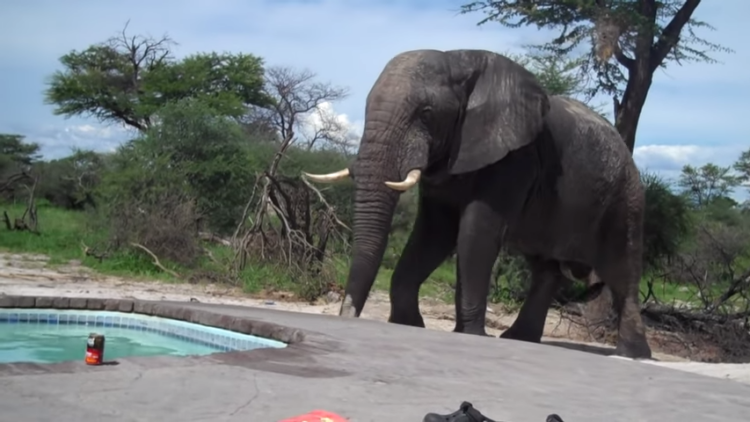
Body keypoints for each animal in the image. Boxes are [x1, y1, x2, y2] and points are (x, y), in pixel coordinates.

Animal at [303, 49, 652, 359]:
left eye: (426, 113)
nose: (347, 315)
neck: (459, 60)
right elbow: (434, 234)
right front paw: (409, 324)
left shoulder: (515, 160)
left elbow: (476, 232)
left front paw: (469, 334)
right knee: (546, 269)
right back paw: (519, 338)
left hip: (625, 201)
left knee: (623, 274)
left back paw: (631, 355)